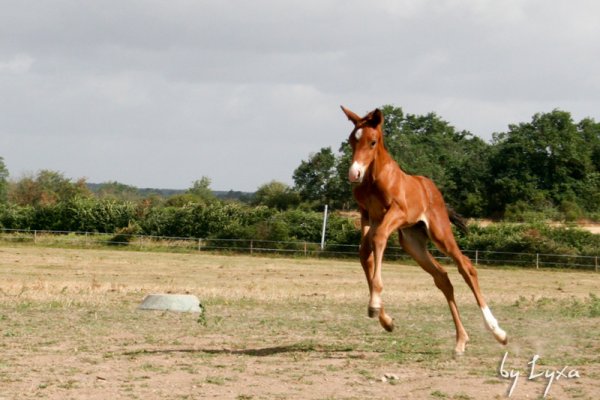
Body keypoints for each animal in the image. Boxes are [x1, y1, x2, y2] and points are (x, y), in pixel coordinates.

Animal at [342, 105, 506, 354]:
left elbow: (378, 240)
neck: (374, 177)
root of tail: (433, 190)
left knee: (466, 267)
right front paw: (385, 319)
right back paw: (461, 340)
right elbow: (365, 253)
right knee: (442, 278)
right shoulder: (367, 216)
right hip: (413, 242)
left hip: (440, 234)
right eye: (352, 140)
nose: (354, 174)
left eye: (372, 142)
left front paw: (375, 305)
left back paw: (497, 331)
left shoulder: (396, 212)